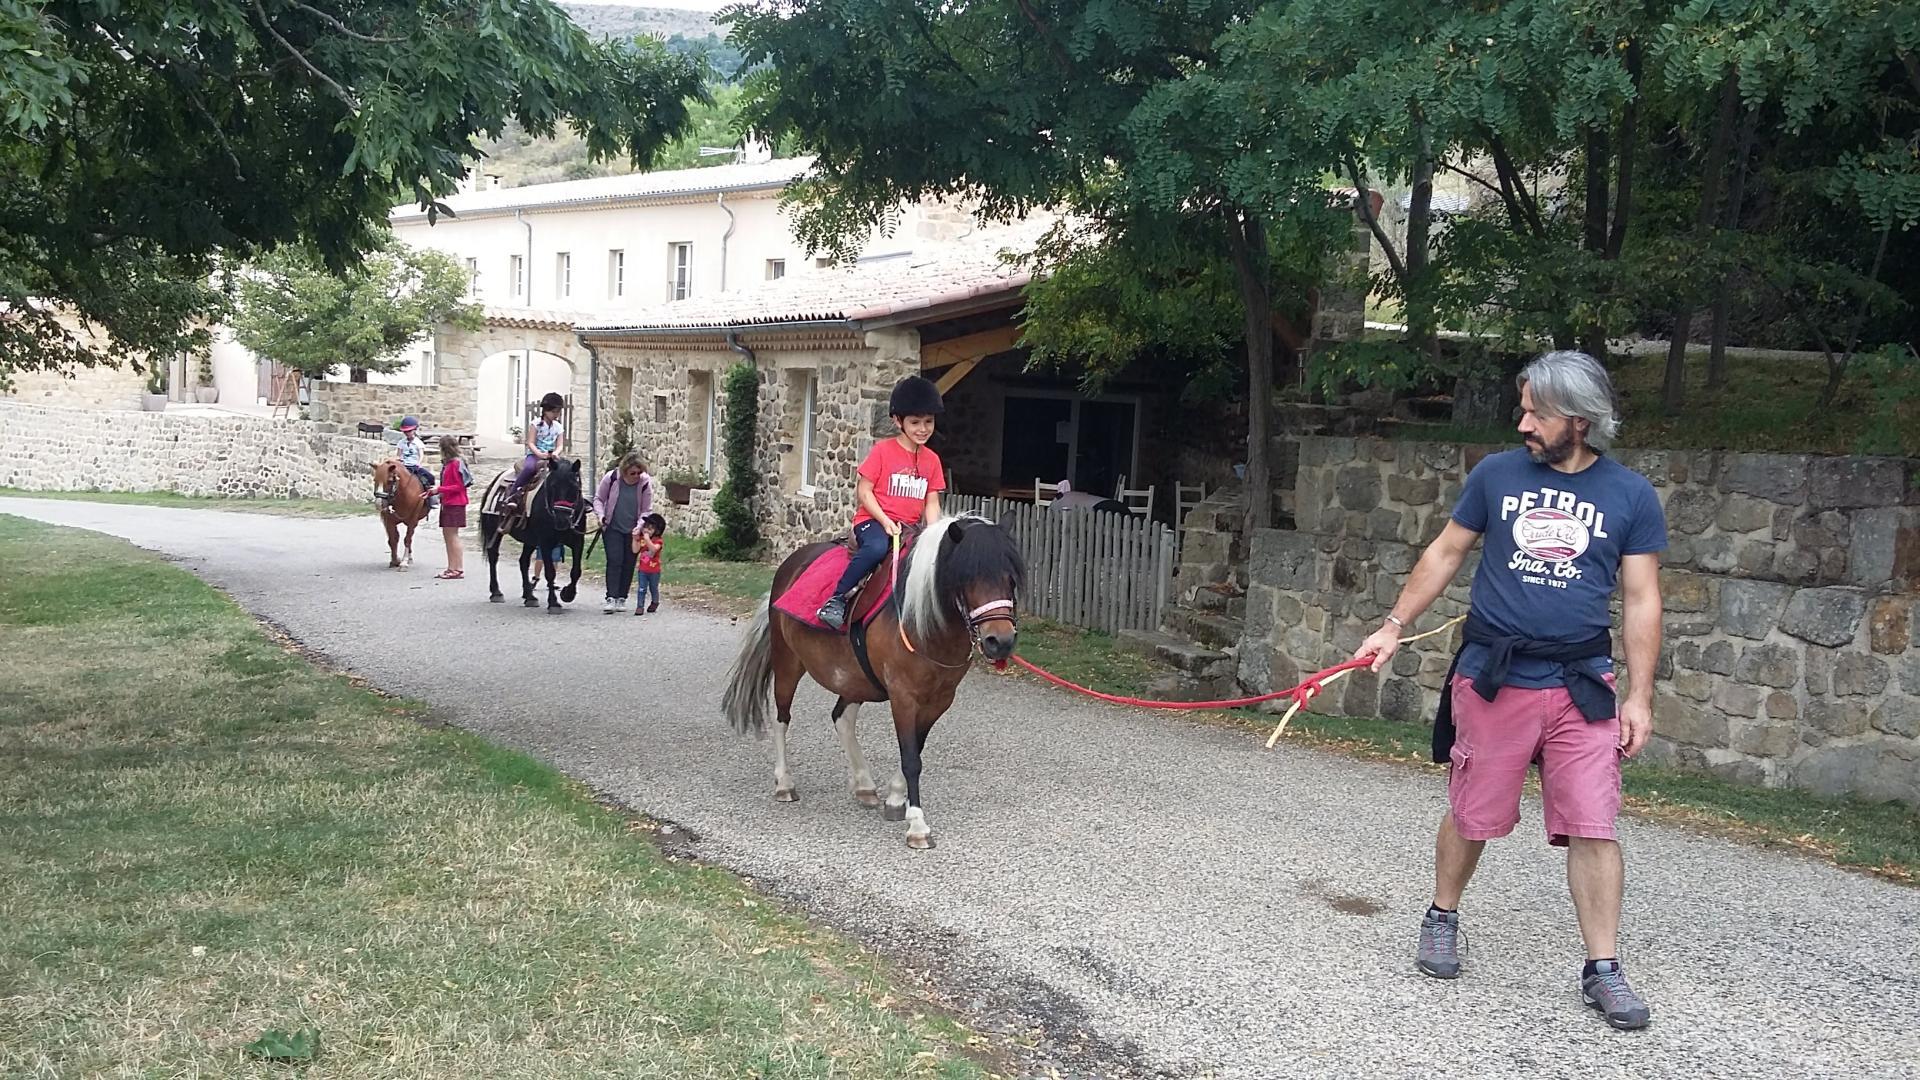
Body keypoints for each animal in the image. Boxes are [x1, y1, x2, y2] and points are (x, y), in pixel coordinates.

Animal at [474, 451, 579, 607]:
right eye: (552, 486)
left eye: (575, 488)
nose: (562, 520)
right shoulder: (545, 542)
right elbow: (550, 572)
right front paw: (554, 603)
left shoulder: (578, 541)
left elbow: (576, 571)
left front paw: (568, 594)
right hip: (495, 529)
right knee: (493, 555)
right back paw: (496, 593)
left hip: (529, 539)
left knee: (523, 561)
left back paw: (529, 596)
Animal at [721, 511, 1029, 849]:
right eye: (966, 578)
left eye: (1010, 578)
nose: (1000, 642)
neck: (922, 622)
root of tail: (790, 566)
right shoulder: (903, 696)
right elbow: (911, 758)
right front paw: (917, 825)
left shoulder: (939, 700)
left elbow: (916, 749)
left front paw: (895, 799)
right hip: (788, 662)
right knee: (782, 719)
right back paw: (784, 783)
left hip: (854, 678)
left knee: (841, 718)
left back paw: (864, 785)